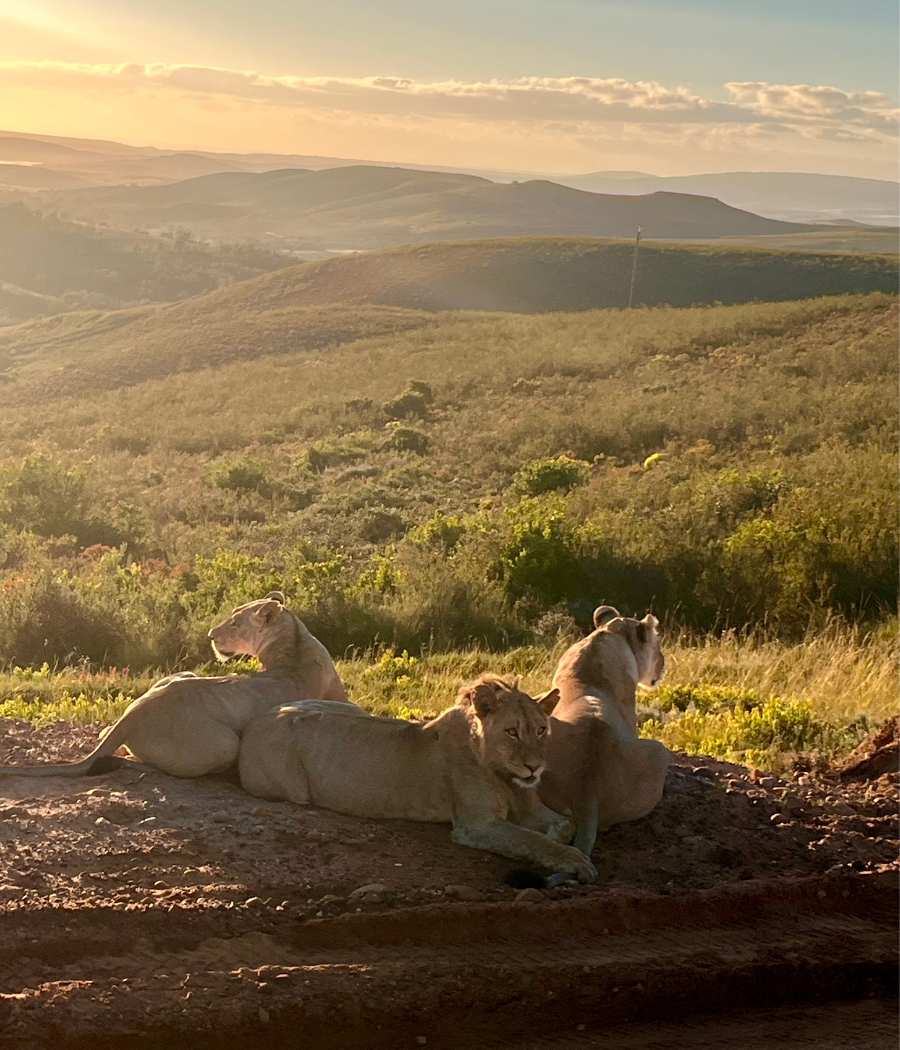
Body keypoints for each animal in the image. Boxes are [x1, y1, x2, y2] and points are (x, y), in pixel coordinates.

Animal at [0, 592, 355, 779]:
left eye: (234, 623)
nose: (210, 635)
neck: (293, 643)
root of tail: (135, 713)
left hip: (184, 675)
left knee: (106, 734)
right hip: (225, 743)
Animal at [237, 675, 597, 881]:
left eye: (541, 730)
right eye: (512, 732)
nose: (534, 767)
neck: (504, 775)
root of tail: (256, 719)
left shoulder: (530, 808)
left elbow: (567, 824)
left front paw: (558, 836)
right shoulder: (476, 825)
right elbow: (529, 839)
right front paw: (573, 859)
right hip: (295, 788)